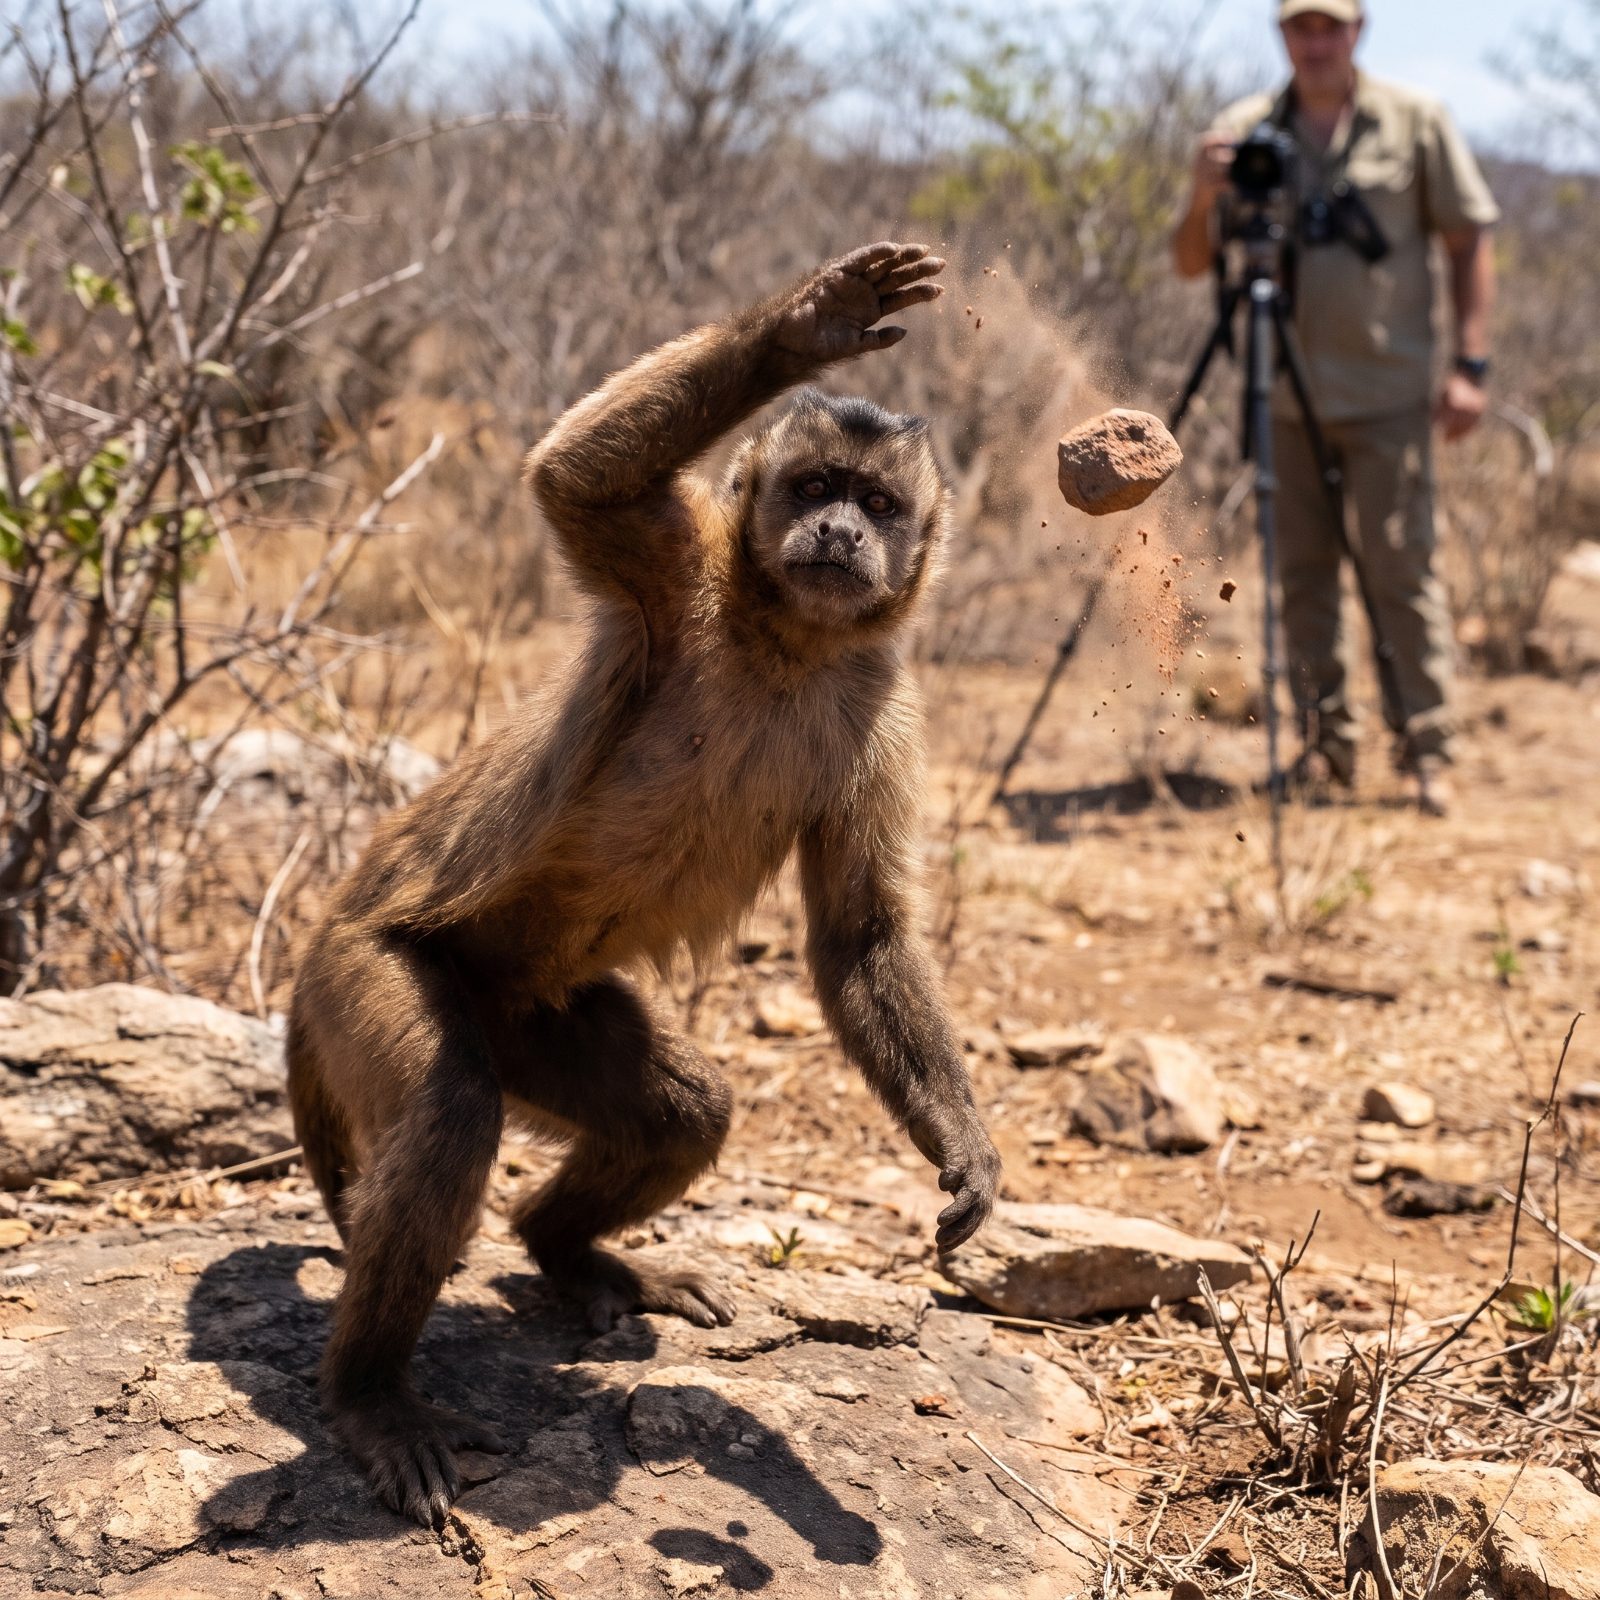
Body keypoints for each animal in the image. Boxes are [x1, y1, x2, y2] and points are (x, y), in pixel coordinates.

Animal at [286, 241, 1002, 1526]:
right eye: (813, 483)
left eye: (877, 505)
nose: (835, 531)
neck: (786, 641)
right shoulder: (681, 575)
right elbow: (575, 481)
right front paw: (809, 327)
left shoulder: (884, 706)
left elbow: (862, 939)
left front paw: (960, 1142)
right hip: (356, 968)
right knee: (451, 1107)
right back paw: (371, 1394)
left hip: (534, 1016)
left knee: (681, 1109)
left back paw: (561, 1252)